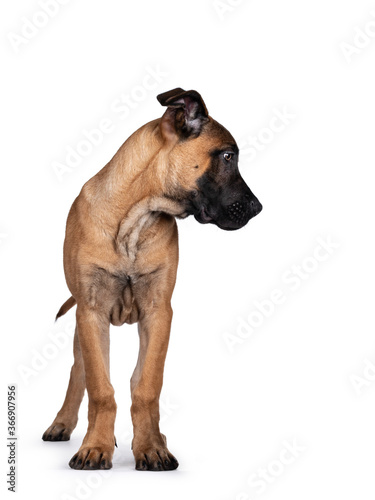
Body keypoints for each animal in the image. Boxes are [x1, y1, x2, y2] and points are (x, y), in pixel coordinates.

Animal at [41, 88, 262, 470]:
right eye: (227, 156)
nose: (258, 208)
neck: (135, 218)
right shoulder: (91, 312)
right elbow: (100, 387)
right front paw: (95, 447)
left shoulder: (159, 312)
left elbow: (146, 385)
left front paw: (151, 446)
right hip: (84, 327)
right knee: (78, 371)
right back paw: (64, 425)